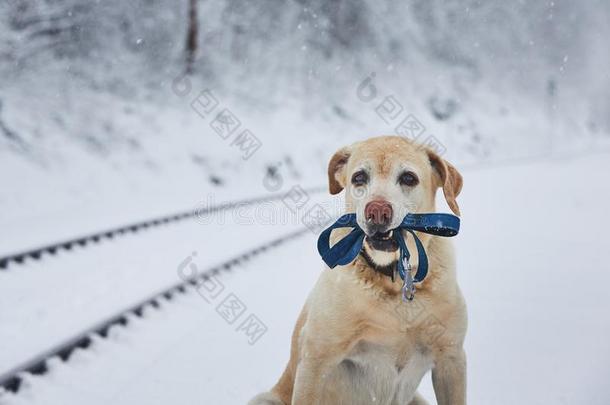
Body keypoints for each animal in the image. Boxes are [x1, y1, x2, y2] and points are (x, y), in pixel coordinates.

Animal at [247, 137, 466, 404]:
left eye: (408, 178)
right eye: (359, 177)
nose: (377, 210)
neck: (394, 280)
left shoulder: (452, 358)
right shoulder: (316, 358)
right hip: (265, 398)